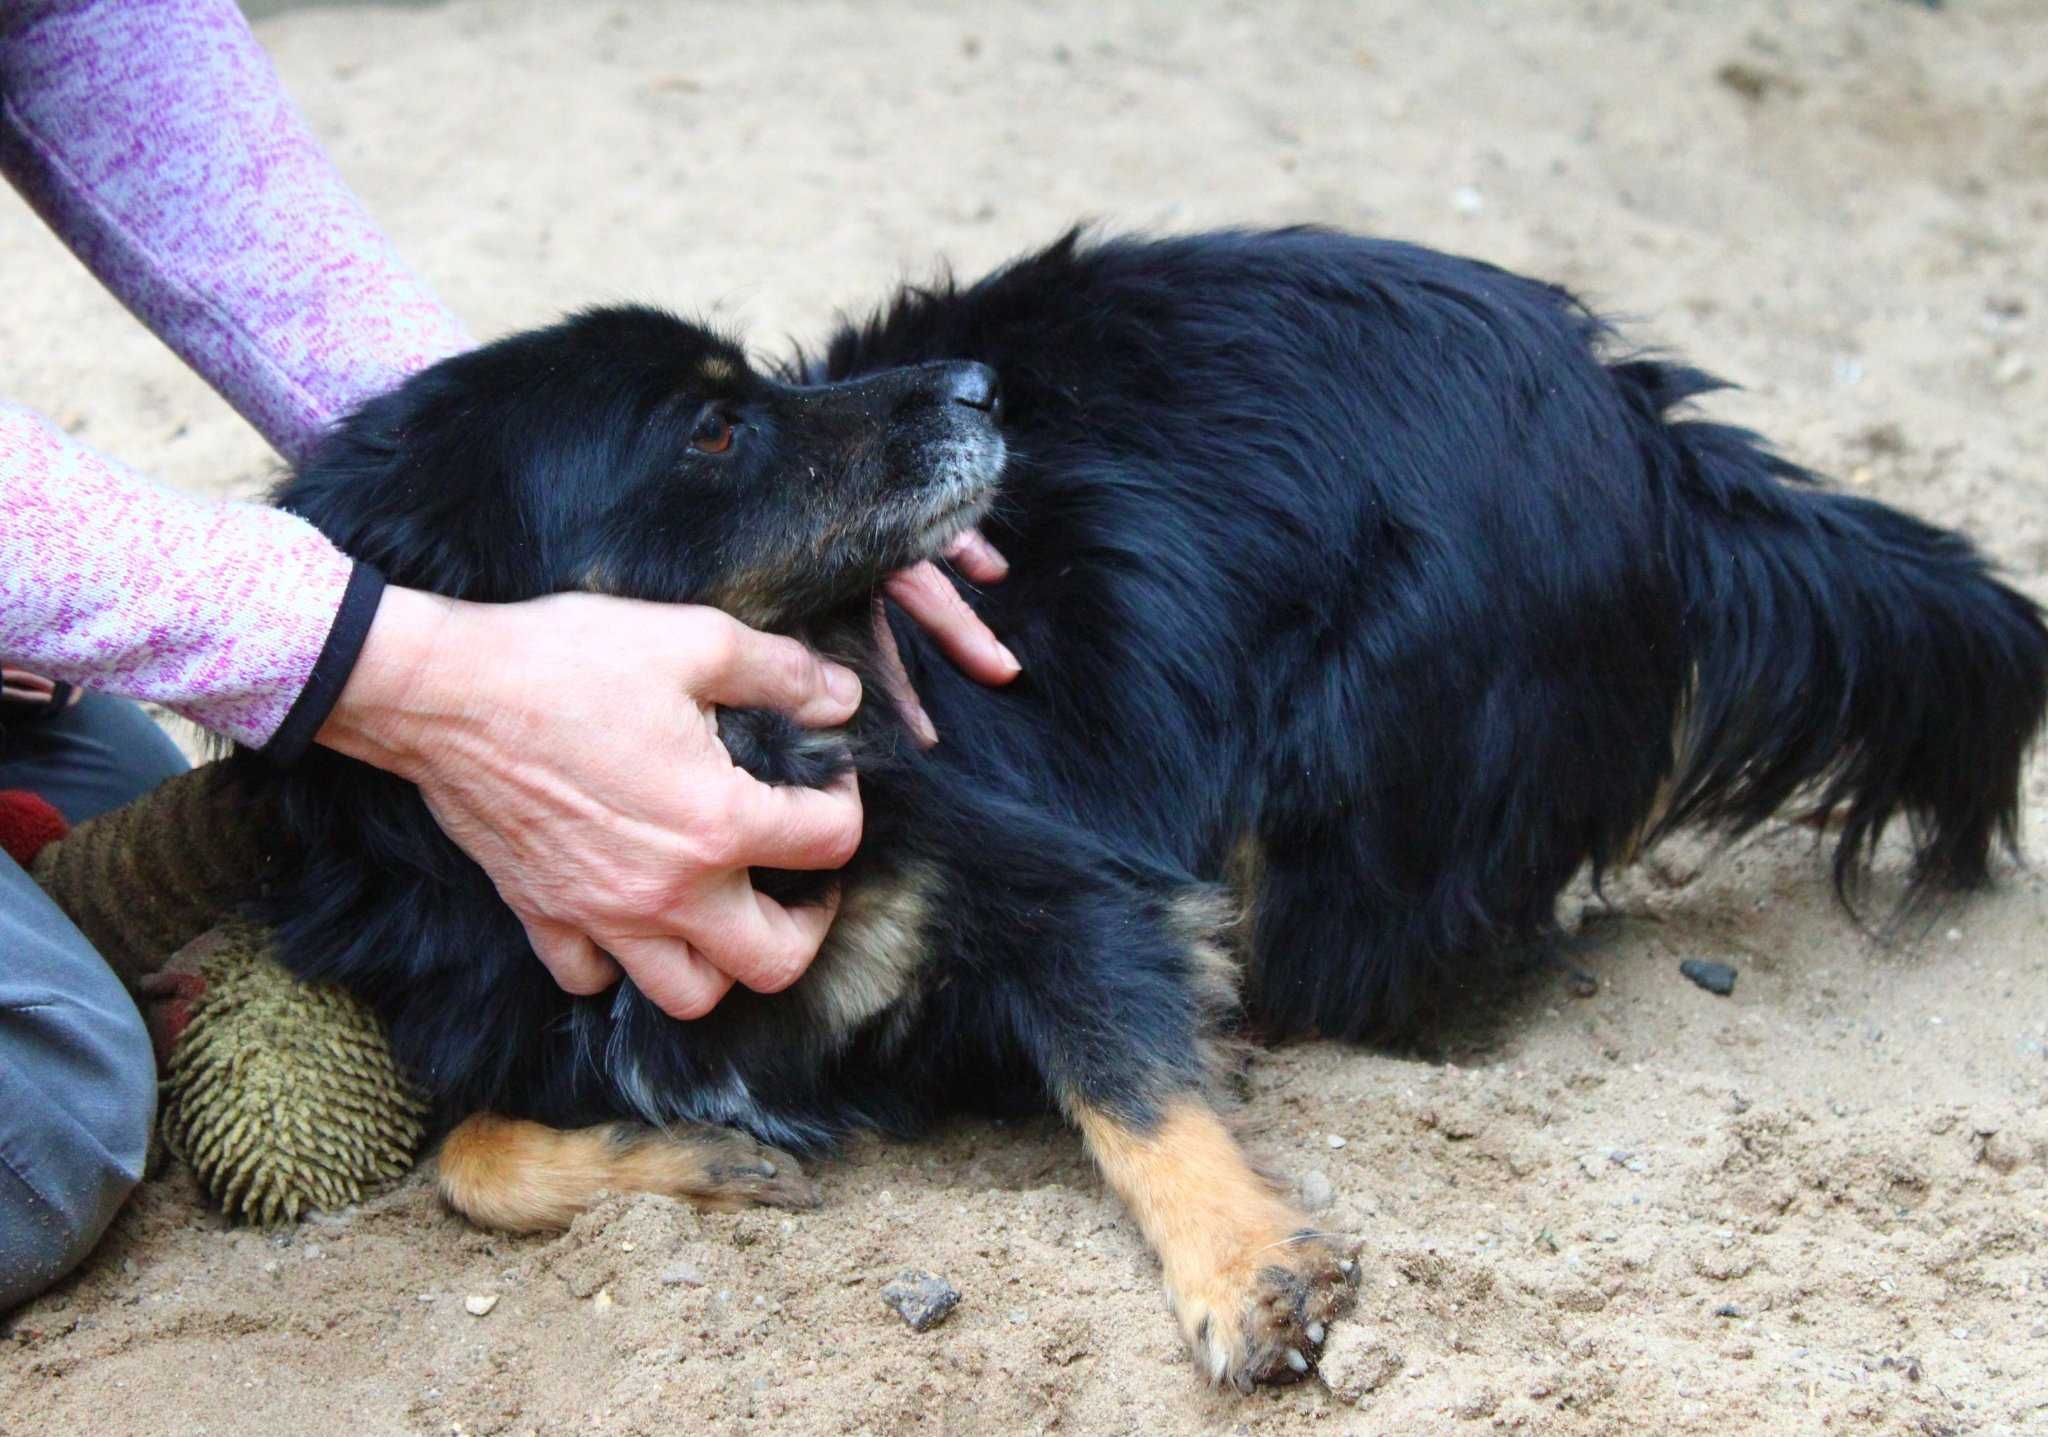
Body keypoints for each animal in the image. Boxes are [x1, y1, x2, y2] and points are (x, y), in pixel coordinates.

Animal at [243, 231, 2048, 1391]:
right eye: (713, 421)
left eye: (741, 384)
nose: (984, 384)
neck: (758, 734)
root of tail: (1637, 420)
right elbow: (471, 1152)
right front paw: (704, 1156)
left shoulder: (1054, 881)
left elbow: (1132, 1078)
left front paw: (1249, 1272)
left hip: (1363, 795)